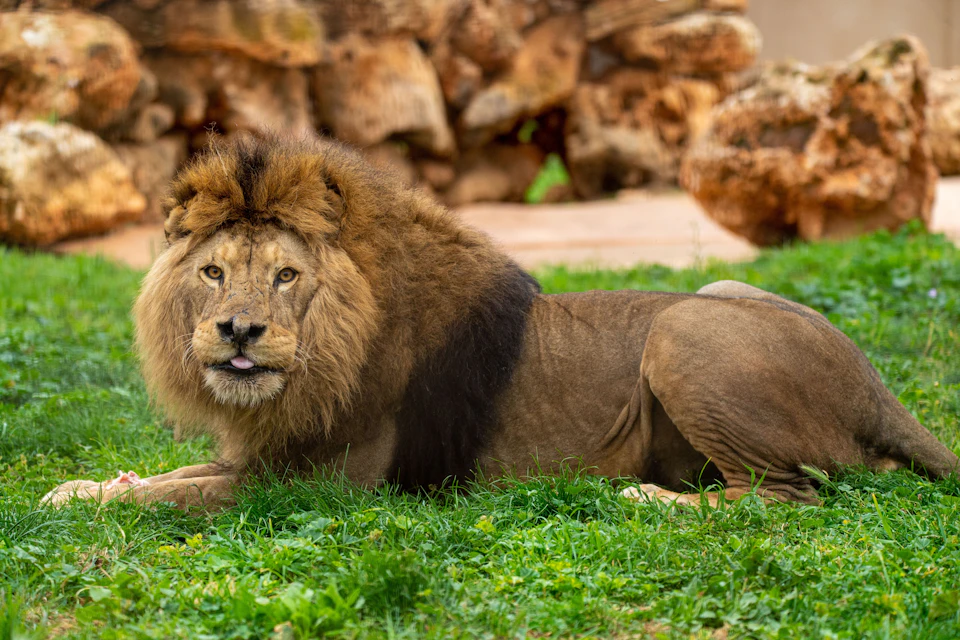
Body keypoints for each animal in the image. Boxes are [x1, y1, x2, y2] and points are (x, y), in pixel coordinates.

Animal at [44, 135, 958, 510]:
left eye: (285, 276)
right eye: (212, 273)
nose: (237, 331)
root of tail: (875, 386)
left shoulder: (325, 484)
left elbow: (183, 499)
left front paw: (101, 502)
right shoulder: (267, 452)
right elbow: (170, 477)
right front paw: (80, 487)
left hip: (683, 333)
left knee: (789, 494)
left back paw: (650, 499)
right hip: (716, 292)